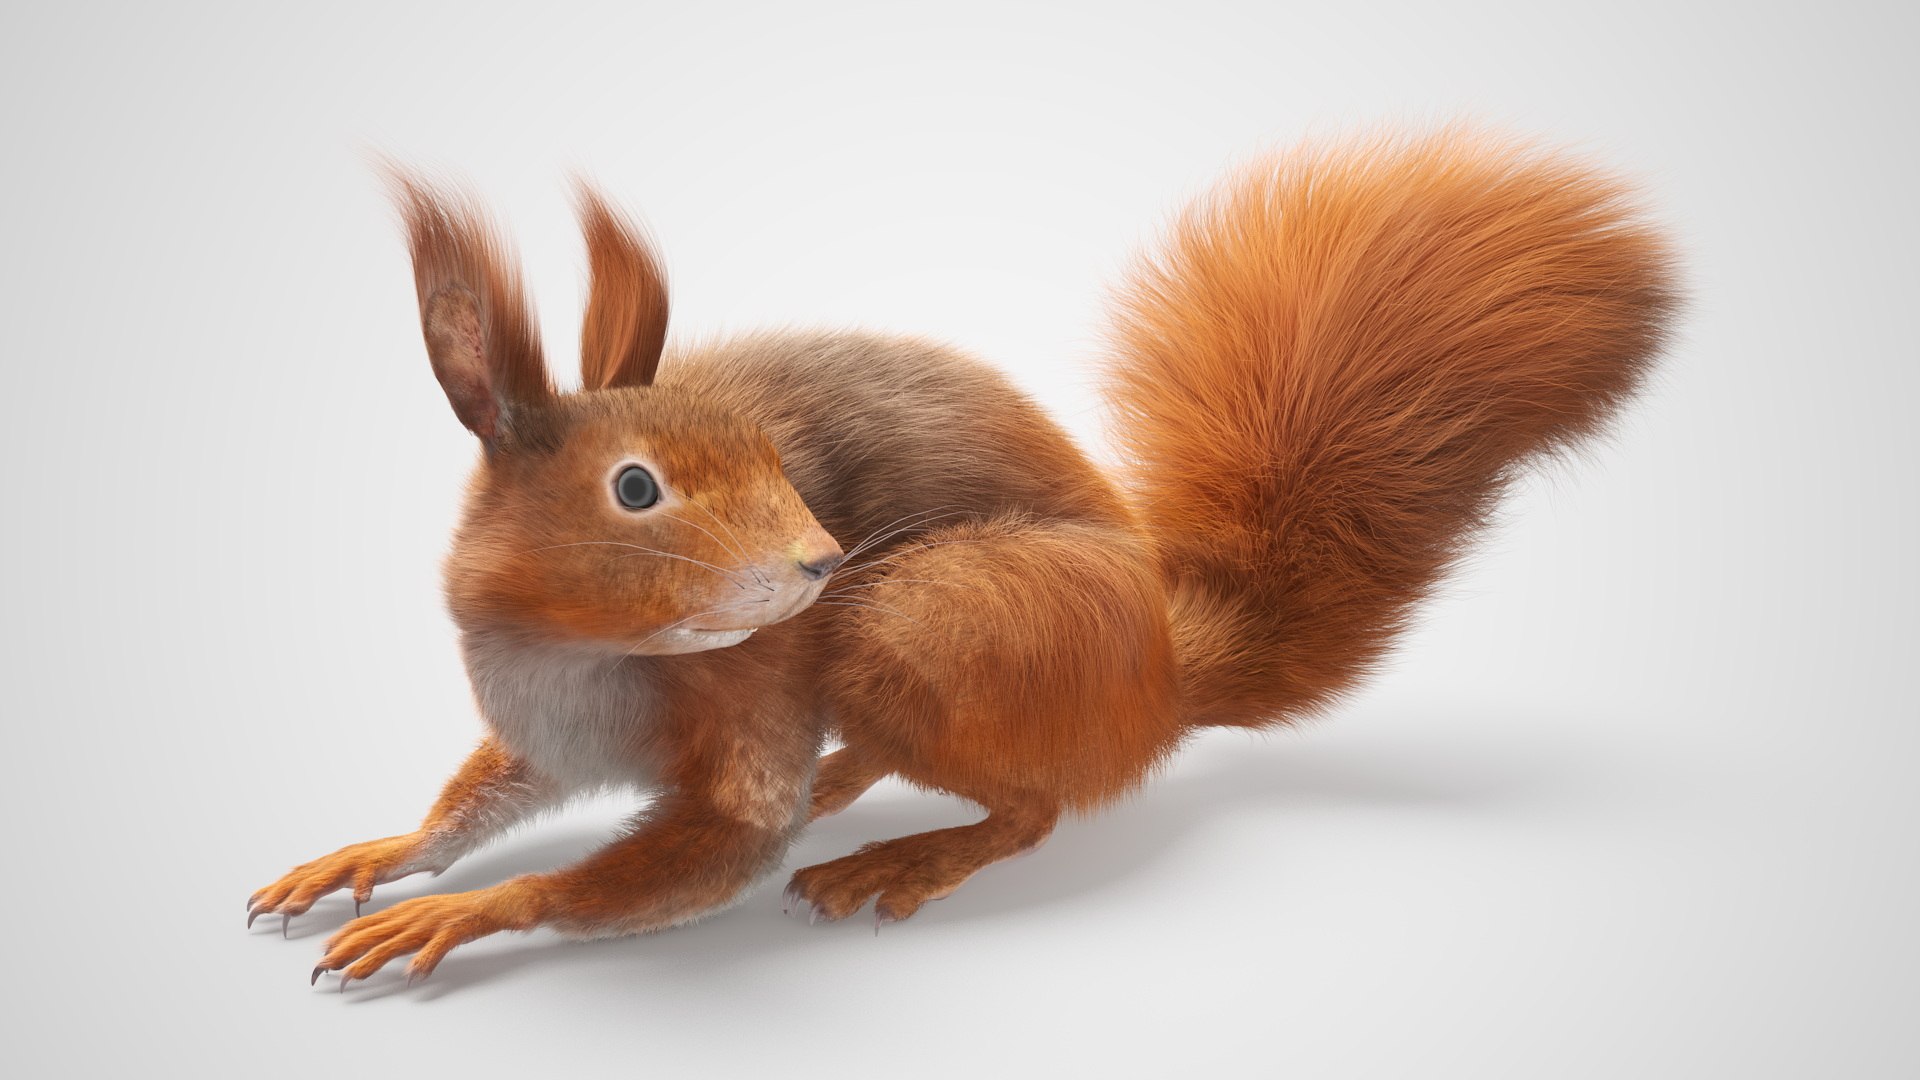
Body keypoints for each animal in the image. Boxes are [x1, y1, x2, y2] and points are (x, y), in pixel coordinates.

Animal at [248, 126, 1677, 988]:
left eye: (771, 452)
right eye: (636, 489)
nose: (819, 562)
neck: (592, 656)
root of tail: (1158, 677)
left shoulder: (748, 716)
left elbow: (689, 852)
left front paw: (470, 913)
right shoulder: (534, 726)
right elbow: (475, 800)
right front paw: (377, 856)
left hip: (936, 620)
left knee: (1033, 808)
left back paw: (899, 856)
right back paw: (848, 783)